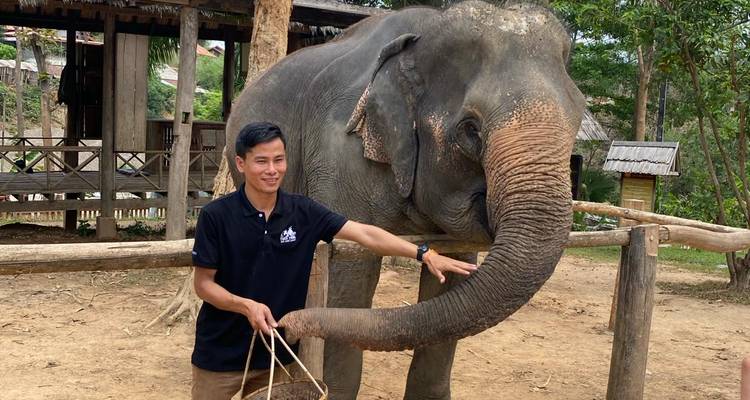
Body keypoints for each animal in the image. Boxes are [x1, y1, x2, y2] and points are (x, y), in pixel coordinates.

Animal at [224, 1, 585, 399]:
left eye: (579, 118)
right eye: (470, 130)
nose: (286, 325)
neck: (423, 36)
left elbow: (456, 273)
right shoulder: (338, 152)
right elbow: (350, 270)